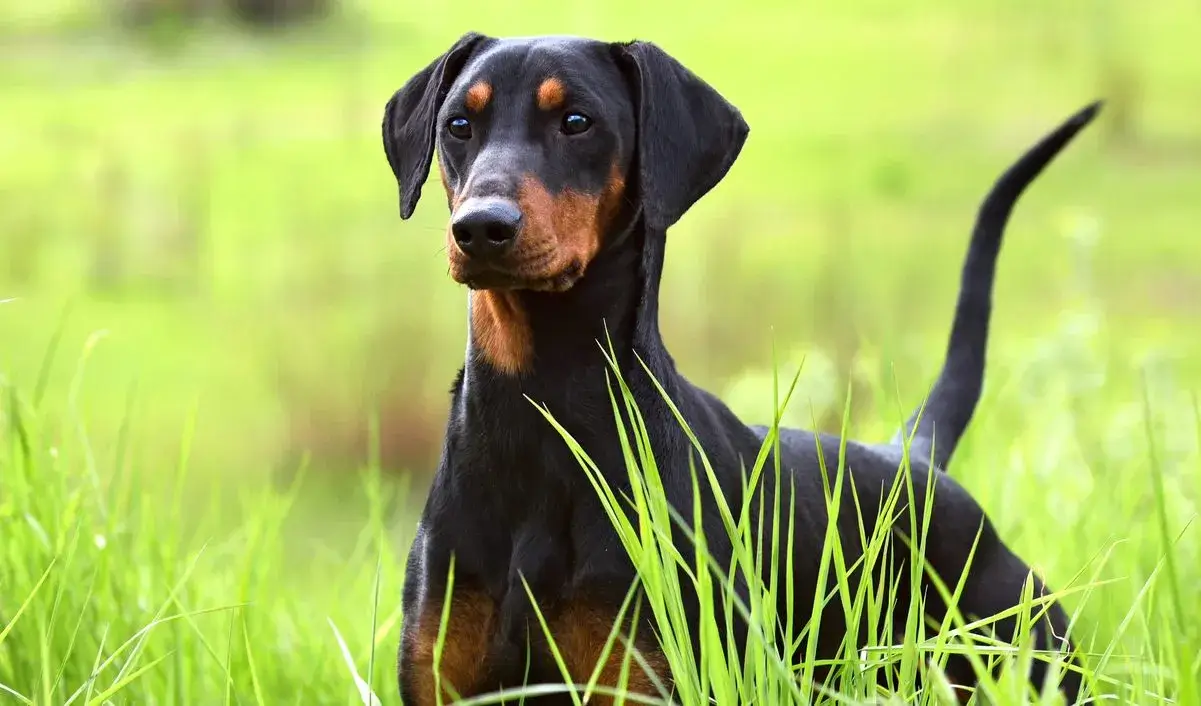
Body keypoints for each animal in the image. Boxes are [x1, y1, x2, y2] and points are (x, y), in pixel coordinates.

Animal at [379, 30, 1100, 701]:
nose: (481, 227)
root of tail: (911, 460)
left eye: (576, 121)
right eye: (458, 125)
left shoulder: (646, 677)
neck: (540, 413)